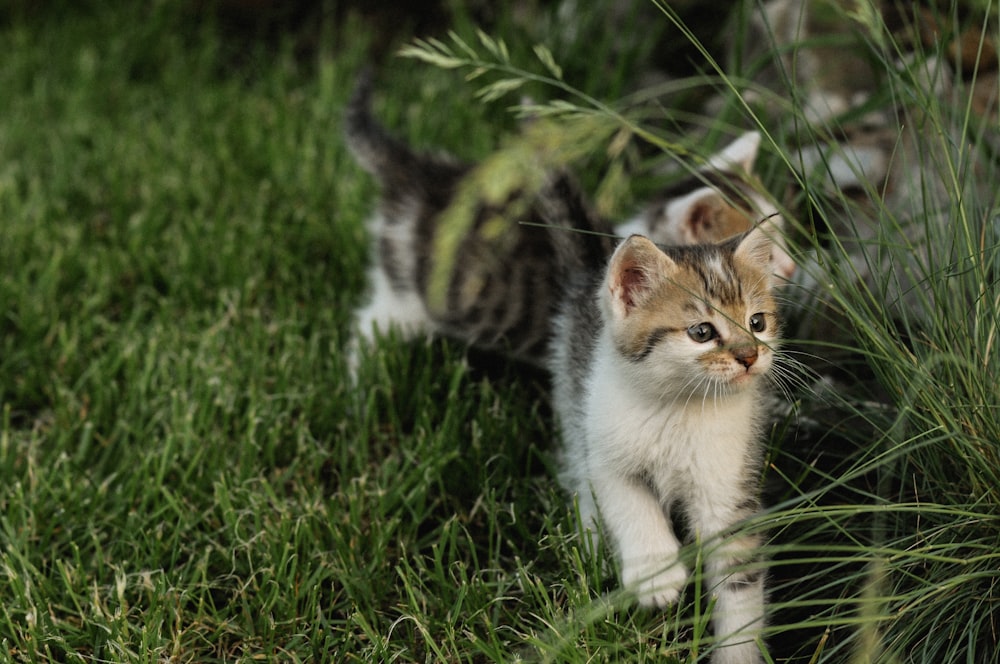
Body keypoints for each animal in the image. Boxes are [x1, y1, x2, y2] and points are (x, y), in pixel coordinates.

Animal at [552, 224, 776, 664]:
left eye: (757, 322)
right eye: (702, 332)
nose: (749, 355)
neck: (680, 408)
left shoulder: (726, 489)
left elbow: (738, 581)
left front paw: (736, 653)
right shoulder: (605, 450)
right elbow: (628, 502)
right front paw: (656, 575)